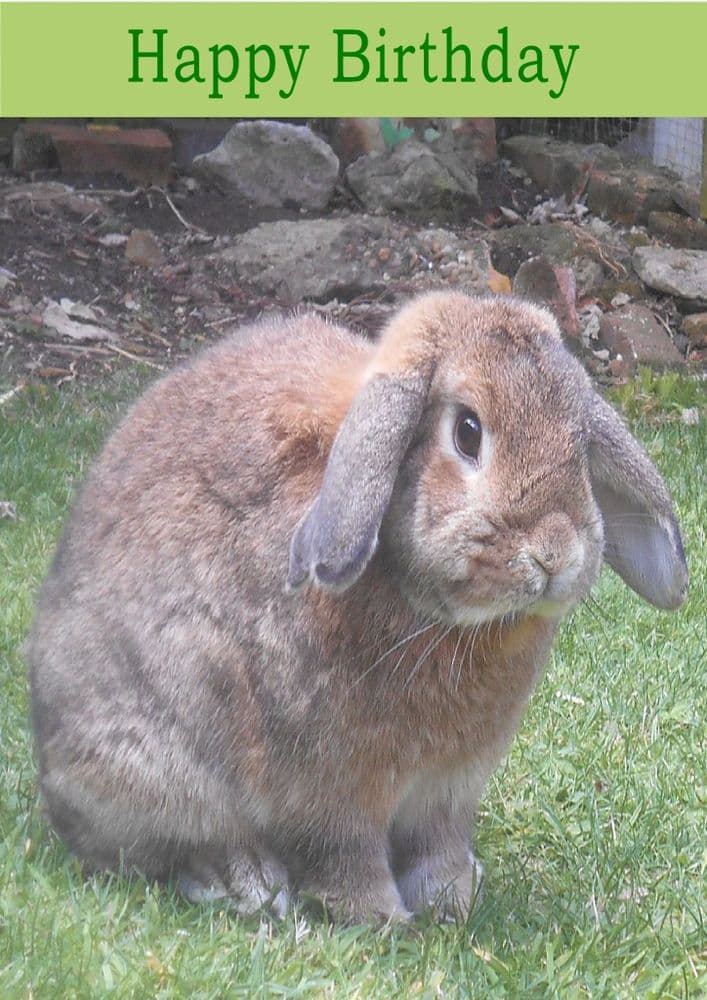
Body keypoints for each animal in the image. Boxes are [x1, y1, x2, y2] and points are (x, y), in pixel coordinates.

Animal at [27, 291, 688, 924]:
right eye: (467, 432)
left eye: (580, 442)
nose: (555, 553)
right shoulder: (331, 788)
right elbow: (344, 852)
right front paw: (382, 918)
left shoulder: (448, 790)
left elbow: (439, 845)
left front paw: (451, 899)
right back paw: (245, 882)